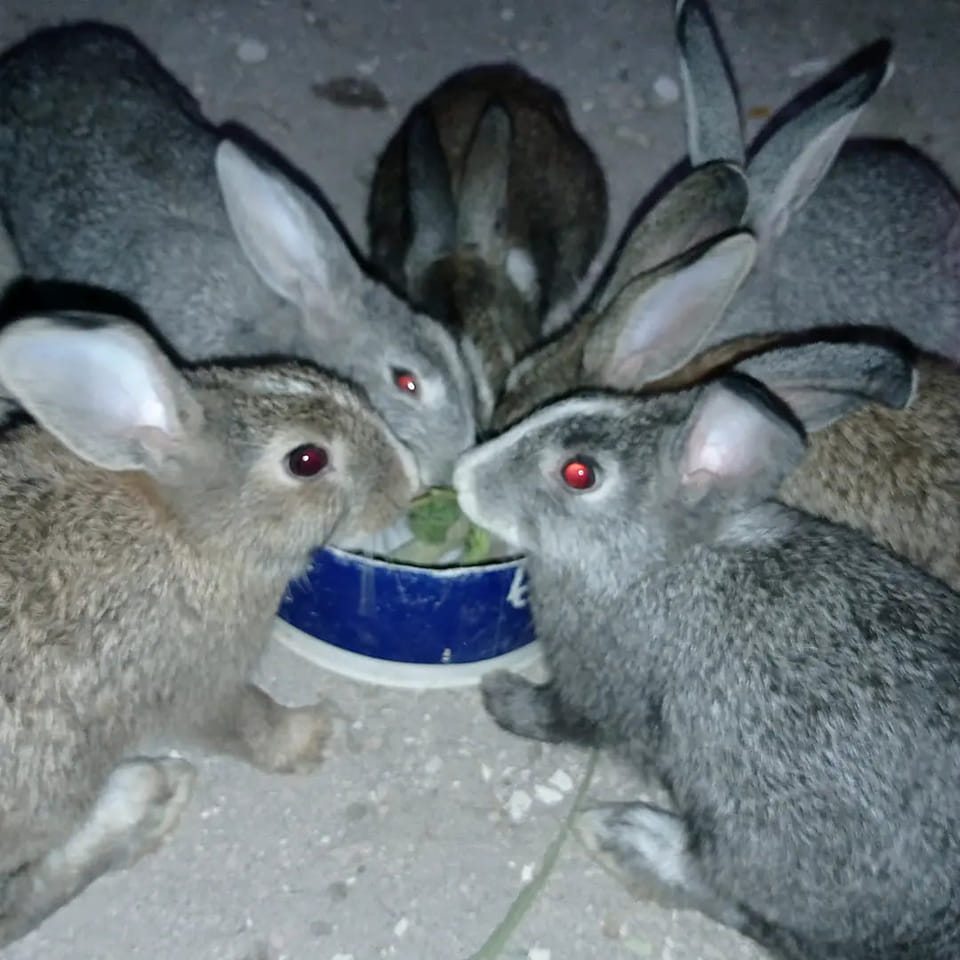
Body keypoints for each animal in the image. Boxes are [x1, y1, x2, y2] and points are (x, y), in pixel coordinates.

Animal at [0, 311, 419, 947]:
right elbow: (251, 724)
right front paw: (312, 735)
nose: (412, 477)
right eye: (307, 460)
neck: (190, 528)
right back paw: (146, 797)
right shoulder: (200, 685)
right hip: (55, 788)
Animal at [453, 350, 960, 960]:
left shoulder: (598, 685)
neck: (656, 560)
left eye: (579, 473)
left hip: (759, 836)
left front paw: (500, 697)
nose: (461, 476)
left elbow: (562, 717)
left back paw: (627, 838)